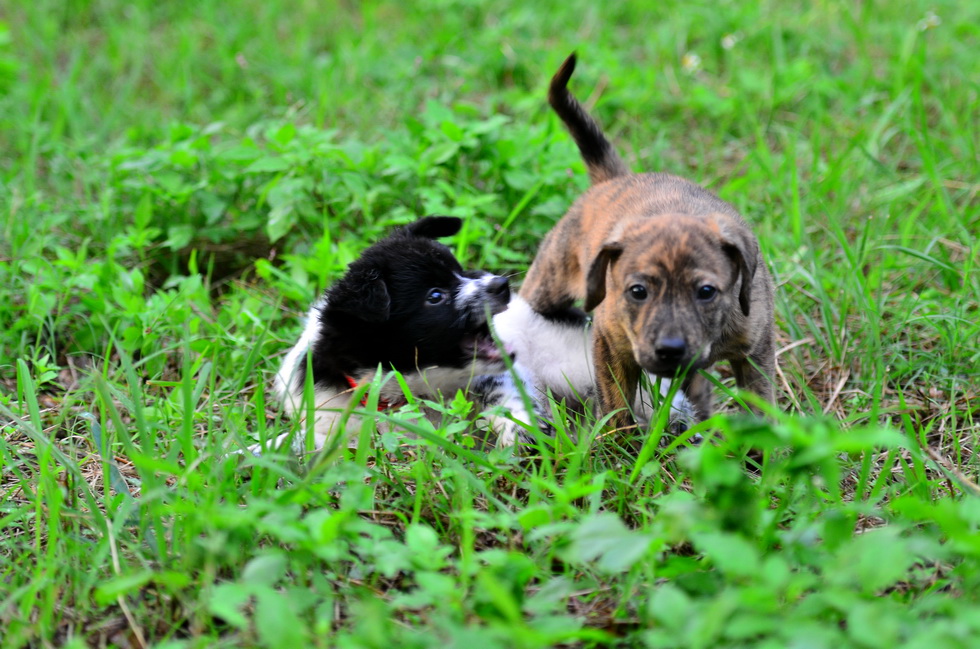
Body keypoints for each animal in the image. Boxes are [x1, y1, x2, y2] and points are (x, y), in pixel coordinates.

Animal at [520, 54, 772, 430]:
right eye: (637, 291)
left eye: (706, 292)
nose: (670, 349)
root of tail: (616, 180)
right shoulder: (610, 345)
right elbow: (617, 406)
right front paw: (618, 443)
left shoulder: (755, 353)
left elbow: (762, 409)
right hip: (547, 284)